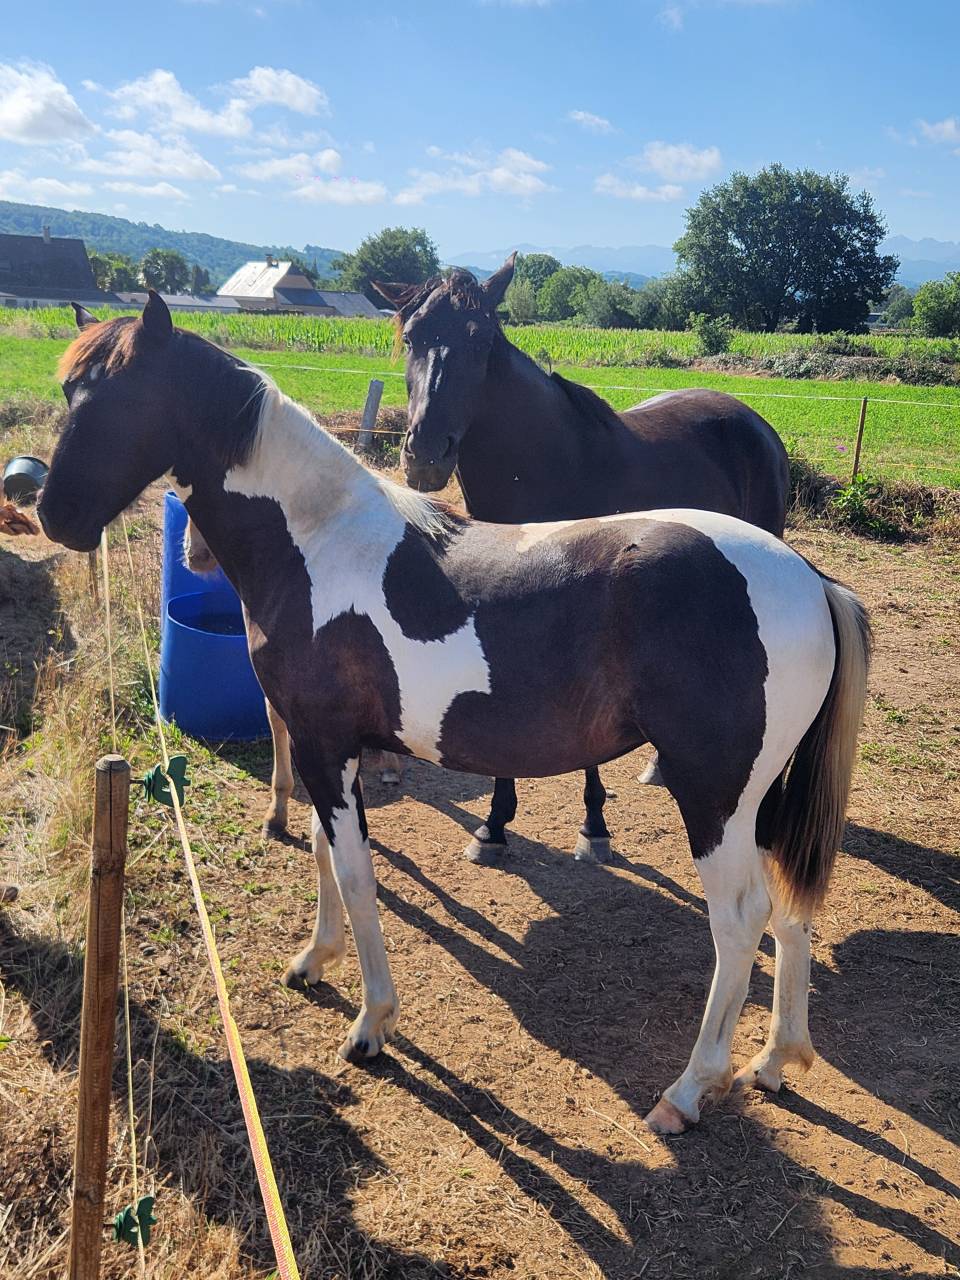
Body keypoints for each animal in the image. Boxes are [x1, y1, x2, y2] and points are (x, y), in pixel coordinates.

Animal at [374, 257, 791, 864]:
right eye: (411, 337)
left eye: (480, 341)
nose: (426, 454)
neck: (544, 464)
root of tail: (751, 419)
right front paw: (493, 826)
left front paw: (593, 825)